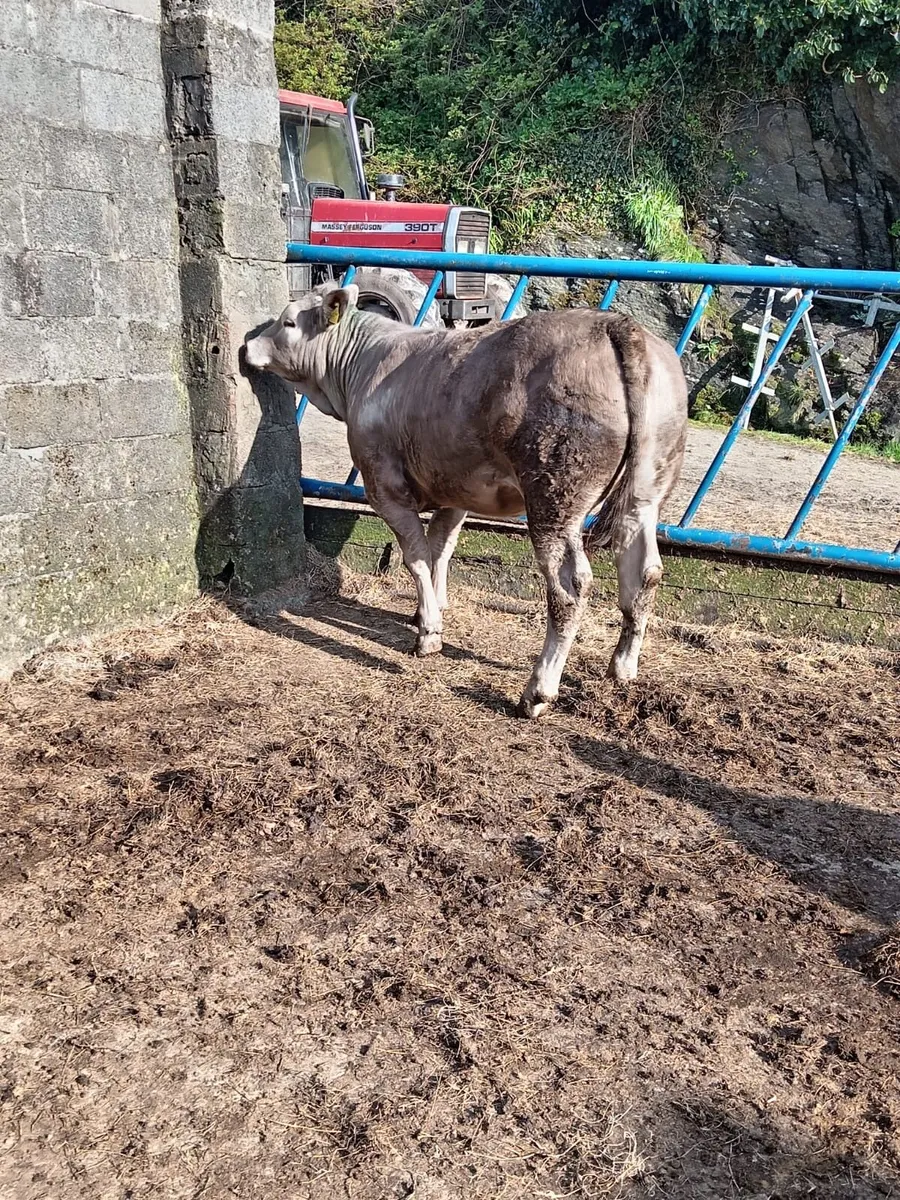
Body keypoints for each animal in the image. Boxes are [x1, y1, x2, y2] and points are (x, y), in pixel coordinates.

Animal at [245, 282, 688, 718]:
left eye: (288, 321)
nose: (247, 343)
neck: (363, 367)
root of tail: (614, 324)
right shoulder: (455, 489)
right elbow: (440, 550)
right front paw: (430, 609)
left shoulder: (384, 485)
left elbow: (417, 557)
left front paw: (429, 633)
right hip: (645, 493)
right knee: (644, 572)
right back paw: (623, 668)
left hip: (554, 497)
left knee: (570, 586)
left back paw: (537, 691)